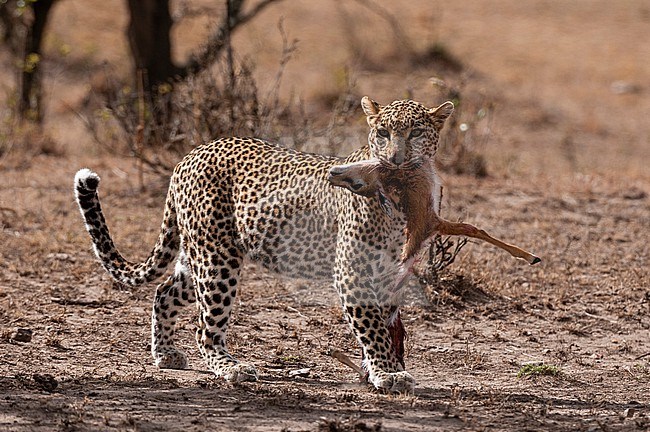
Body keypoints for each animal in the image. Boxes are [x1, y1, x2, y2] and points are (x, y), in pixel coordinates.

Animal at [73, 96, 450, 394]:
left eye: (416, 132)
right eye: (383, 133)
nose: (395, 158)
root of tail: (190, 155)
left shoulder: (389, 273)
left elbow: (384, 324)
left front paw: (381, 370)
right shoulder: (352, 272)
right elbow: (372, 327)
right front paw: (387, 373)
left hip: (198, 254)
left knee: (164, 290)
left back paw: (165, 354)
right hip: (217, 259)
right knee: (205, 327)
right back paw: (231, 368)